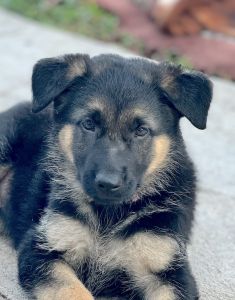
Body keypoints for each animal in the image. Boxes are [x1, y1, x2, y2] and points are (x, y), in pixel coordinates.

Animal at [0, 52, 213, 298]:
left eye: (141, 130)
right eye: (88, 124)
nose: (107, 183)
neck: (109, 215)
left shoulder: (171, 273)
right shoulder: (42, 248)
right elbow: (73, 291)